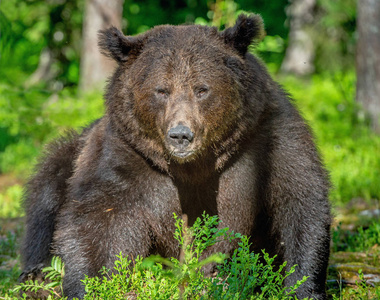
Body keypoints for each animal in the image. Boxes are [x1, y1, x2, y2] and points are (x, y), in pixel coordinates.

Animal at [20, 14, 330, 300]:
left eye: (202, 89)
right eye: (161, 90)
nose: (180, 135)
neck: (194, 166)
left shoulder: (269, 140)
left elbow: (299, 204)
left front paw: (302, 286)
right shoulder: (126, 157)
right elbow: (99, 220)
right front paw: (90, 285)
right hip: (71, 153)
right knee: (46, 195)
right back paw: (36, 275)